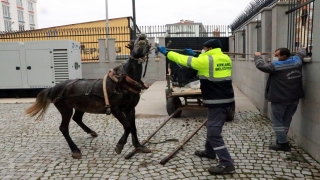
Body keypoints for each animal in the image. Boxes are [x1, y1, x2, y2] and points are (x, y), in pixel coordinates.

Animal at [24, 34, 152, 159]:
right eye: (131, 42)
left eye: (147, 42)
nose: (142, 37)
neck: (124, 81)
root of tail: (52, 88)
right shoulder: (116, 109)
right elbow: (128, 126)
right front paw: (119, 146)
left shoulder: (130, 109)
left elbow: (133, 127)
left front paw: (139, 146)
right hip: (66, 110)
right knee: (63, 128)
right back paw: (75, 150)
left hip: (80, 107)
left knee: (77, 119)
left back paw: (91, 132)